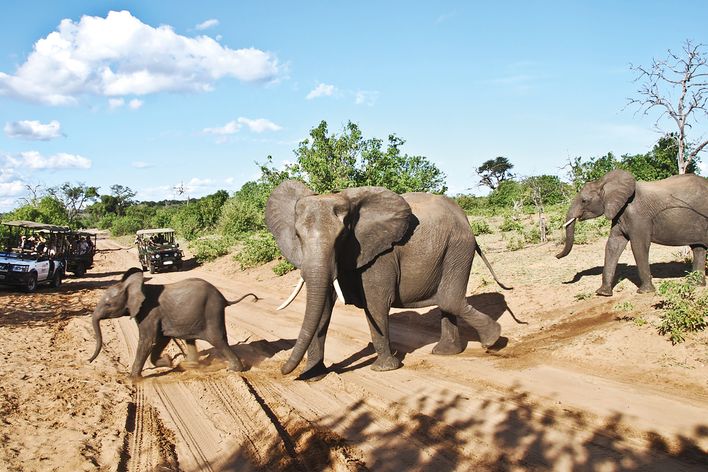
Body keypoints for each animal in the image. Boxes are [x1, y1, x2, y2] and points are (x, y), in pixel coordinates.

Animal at [88, 270, 258, 380]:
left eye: (108, 304)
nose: (88, 361)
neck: (134, 286)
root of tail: (224, 298)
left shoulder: (150, 312)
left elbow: (148, 340)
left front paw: (131, 379)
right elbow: (162, 338)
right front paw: (170, 362)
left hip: (212, 311)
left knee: (217, 339)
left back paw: (233, 370)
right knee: (192, 339)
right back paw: (190, 365)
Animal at [266, 179, 508, 378]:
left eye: (343, 236)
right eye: (297, 236)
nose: (283, 371)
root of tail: (464, 217)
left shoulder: (380, 255)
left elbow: (375, 304)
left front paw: (384, 369)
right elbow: (323, 308)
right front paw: (313, 376)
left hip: (458, 246)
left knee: (449, 300)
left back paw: (493, 340)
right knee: (447, 302)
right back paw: (446, 352)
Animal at [556, 170, 704, 296]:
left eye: (584, 201)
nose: (556, 256)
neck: (605, 183)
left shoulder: (638, 216)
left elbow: (638, 246)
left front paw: (644, 292)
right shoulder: (619, 214)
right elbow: (613, 245)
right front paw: (602, 293)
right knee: (698, 249)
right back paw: (697, 284)